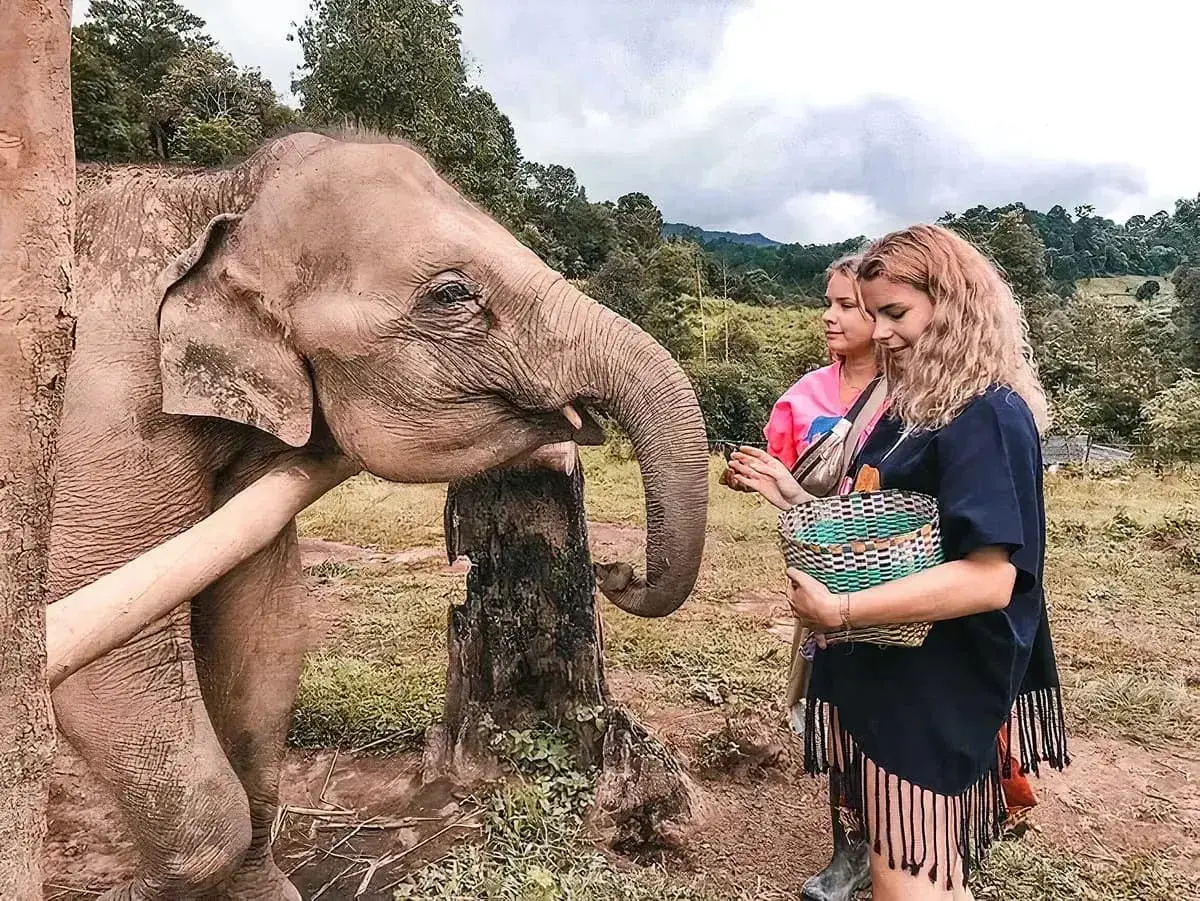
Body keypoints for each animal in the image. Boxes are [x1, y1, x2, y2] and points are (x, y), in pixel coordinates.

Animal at [48, 130, 710, 900]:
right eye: (451, 295)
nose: (616, 571)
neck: (213, 196)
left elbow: (261, 620)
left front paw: (261, 890)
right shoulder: (101, 414)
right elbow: (109, 646)